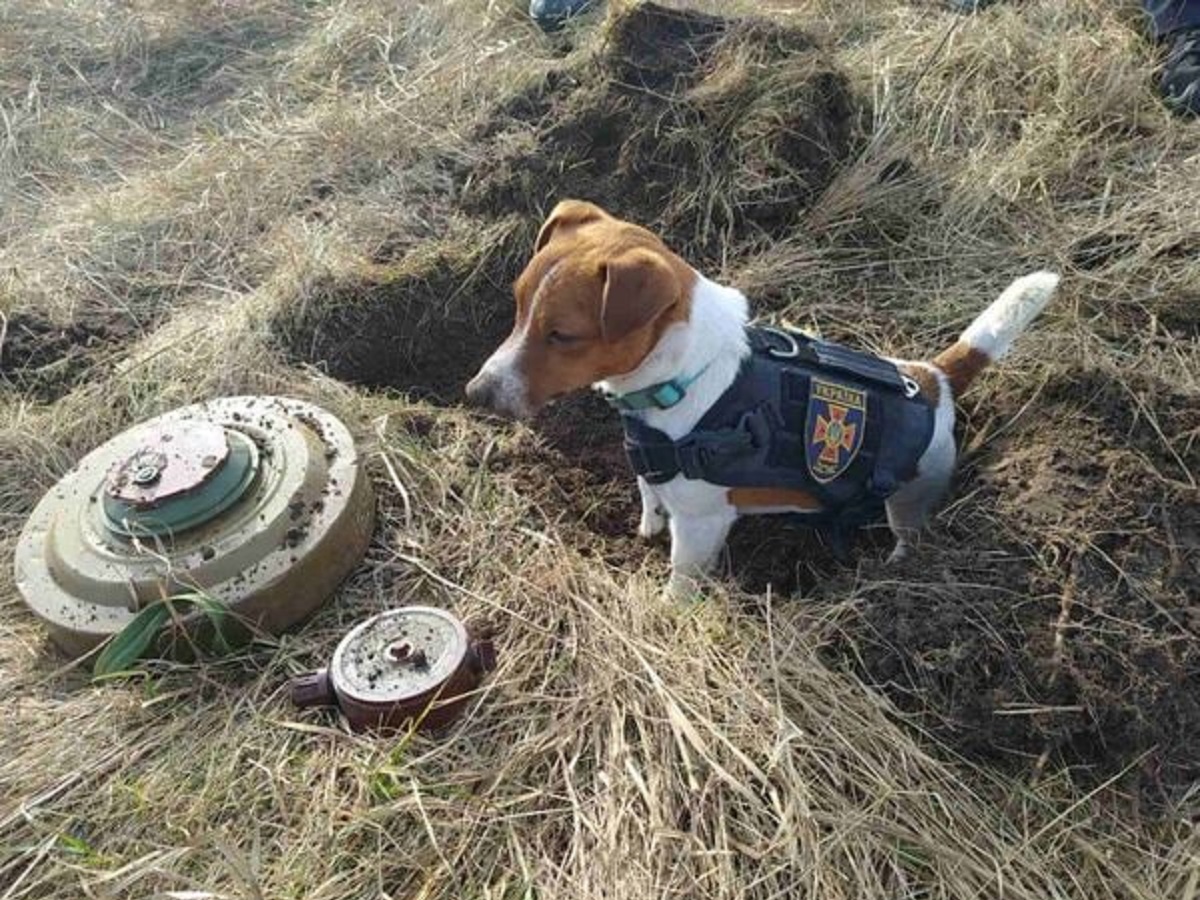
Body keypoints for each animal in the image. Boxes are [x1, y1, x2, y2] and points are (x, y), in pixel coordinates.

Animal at [468, 204, 1060, 600]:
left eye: (562, 336)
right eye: (517, 306)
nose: (475, 392)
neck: (684, 374)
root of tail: (933, 378)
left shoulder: (701, 524)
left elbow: (681, 578)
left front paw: (668, 608)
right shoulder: (652, 469)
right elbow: (648, 496)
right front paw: (645, 528)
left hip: (911, 499)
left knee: (909, 535)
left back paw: (893, 569)